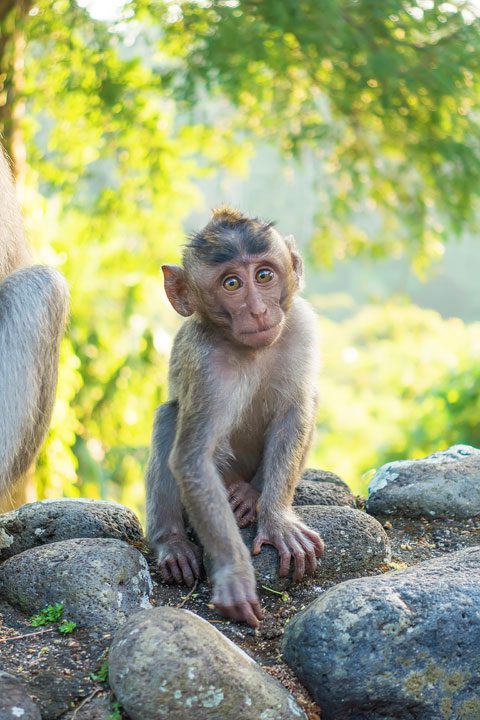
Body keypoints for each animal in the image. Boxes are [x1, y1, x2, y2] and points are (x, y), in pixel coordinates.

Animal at [146, 208, 324, 624]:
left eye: (264, 276)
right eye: (231, 284)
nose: (258, 310)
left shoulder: (301, 327)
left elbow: (294, 412)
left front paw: (277, 520)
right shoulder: (207, 365)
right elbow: (193, 458)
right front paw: (234, 575)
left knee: (308, 398)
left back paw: (249, 493)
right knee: (169, 416)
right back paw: (171, 543)